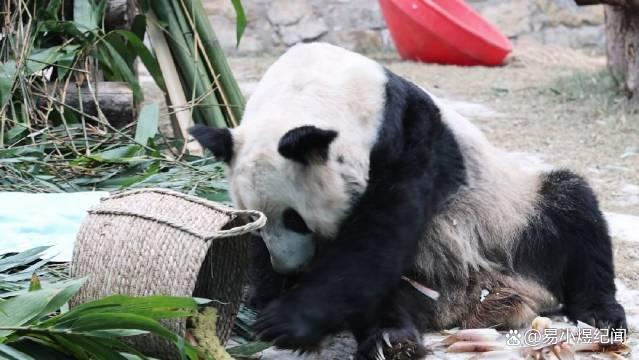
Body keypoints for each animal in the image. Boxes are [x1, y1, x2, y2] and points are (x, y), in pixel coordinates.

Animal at [189, 43, 624, 358]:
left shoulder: (410, 136)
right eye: (261, 221)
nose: (289, 267)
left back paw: (600, 313)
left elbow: (380, 234)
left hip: (515, 219)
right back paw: (393, 336)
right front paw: (269, 296)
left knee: (574, 210)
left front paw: (284, 320)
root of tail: (479, 302)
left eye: (297, 219)